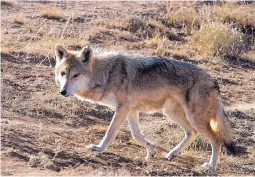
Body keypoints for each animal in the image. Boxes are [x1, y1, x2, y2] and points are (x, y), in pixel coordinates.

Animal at [53, 44, 235, 173]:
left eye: (76, 75)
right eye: (63, 74)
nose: (63, 92)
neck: (107, 74)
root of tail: (213, 81)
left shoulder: (123, 108)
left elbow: (110, 132)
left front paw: (99, 148)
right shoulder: (131, 110)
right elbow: (137, 135)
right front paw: (151, 151)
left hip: (192, 117)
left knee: (216, 139)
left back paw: (210, 166)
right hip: (172, 113)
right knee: (192, 133)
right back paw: (173, 153)